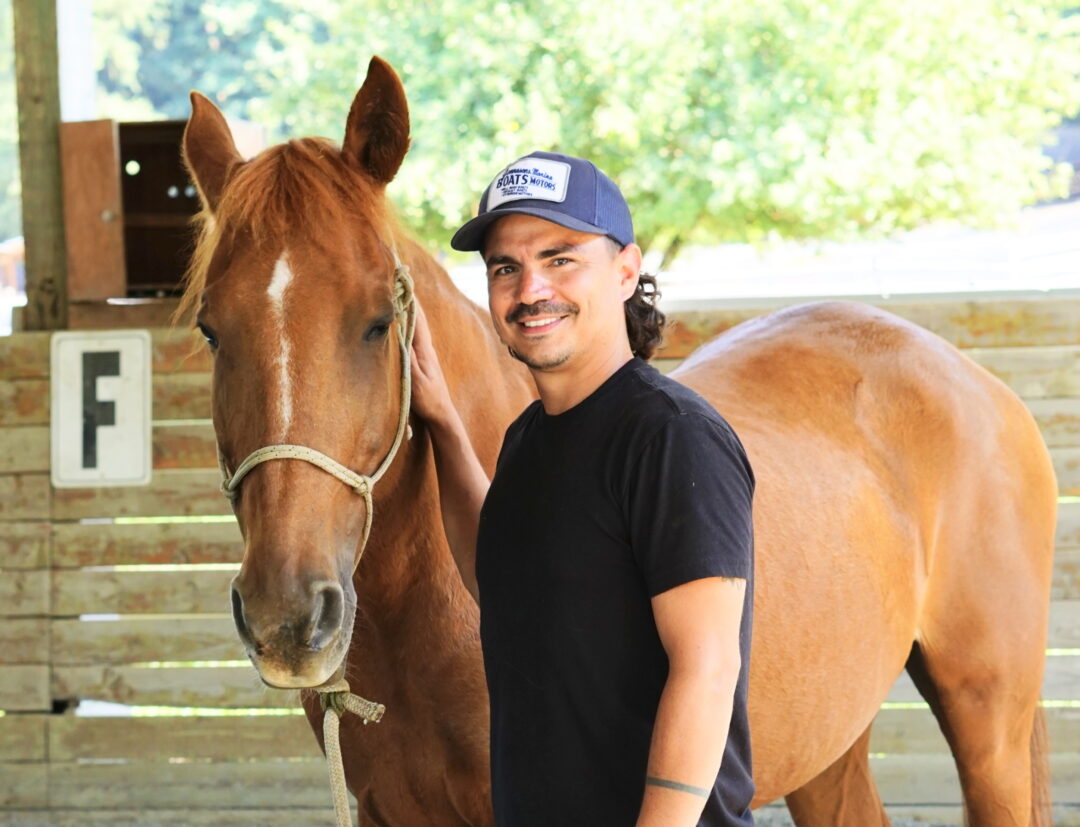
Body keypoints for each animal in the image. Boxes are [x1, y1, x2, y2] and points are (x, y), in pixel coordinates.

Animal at [180, 57, 1056, 826]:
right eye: (212, 331)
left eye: (374, 320)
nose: (287, 616)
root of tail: (973, 379)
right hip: (829, 740)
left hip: (990, 720)